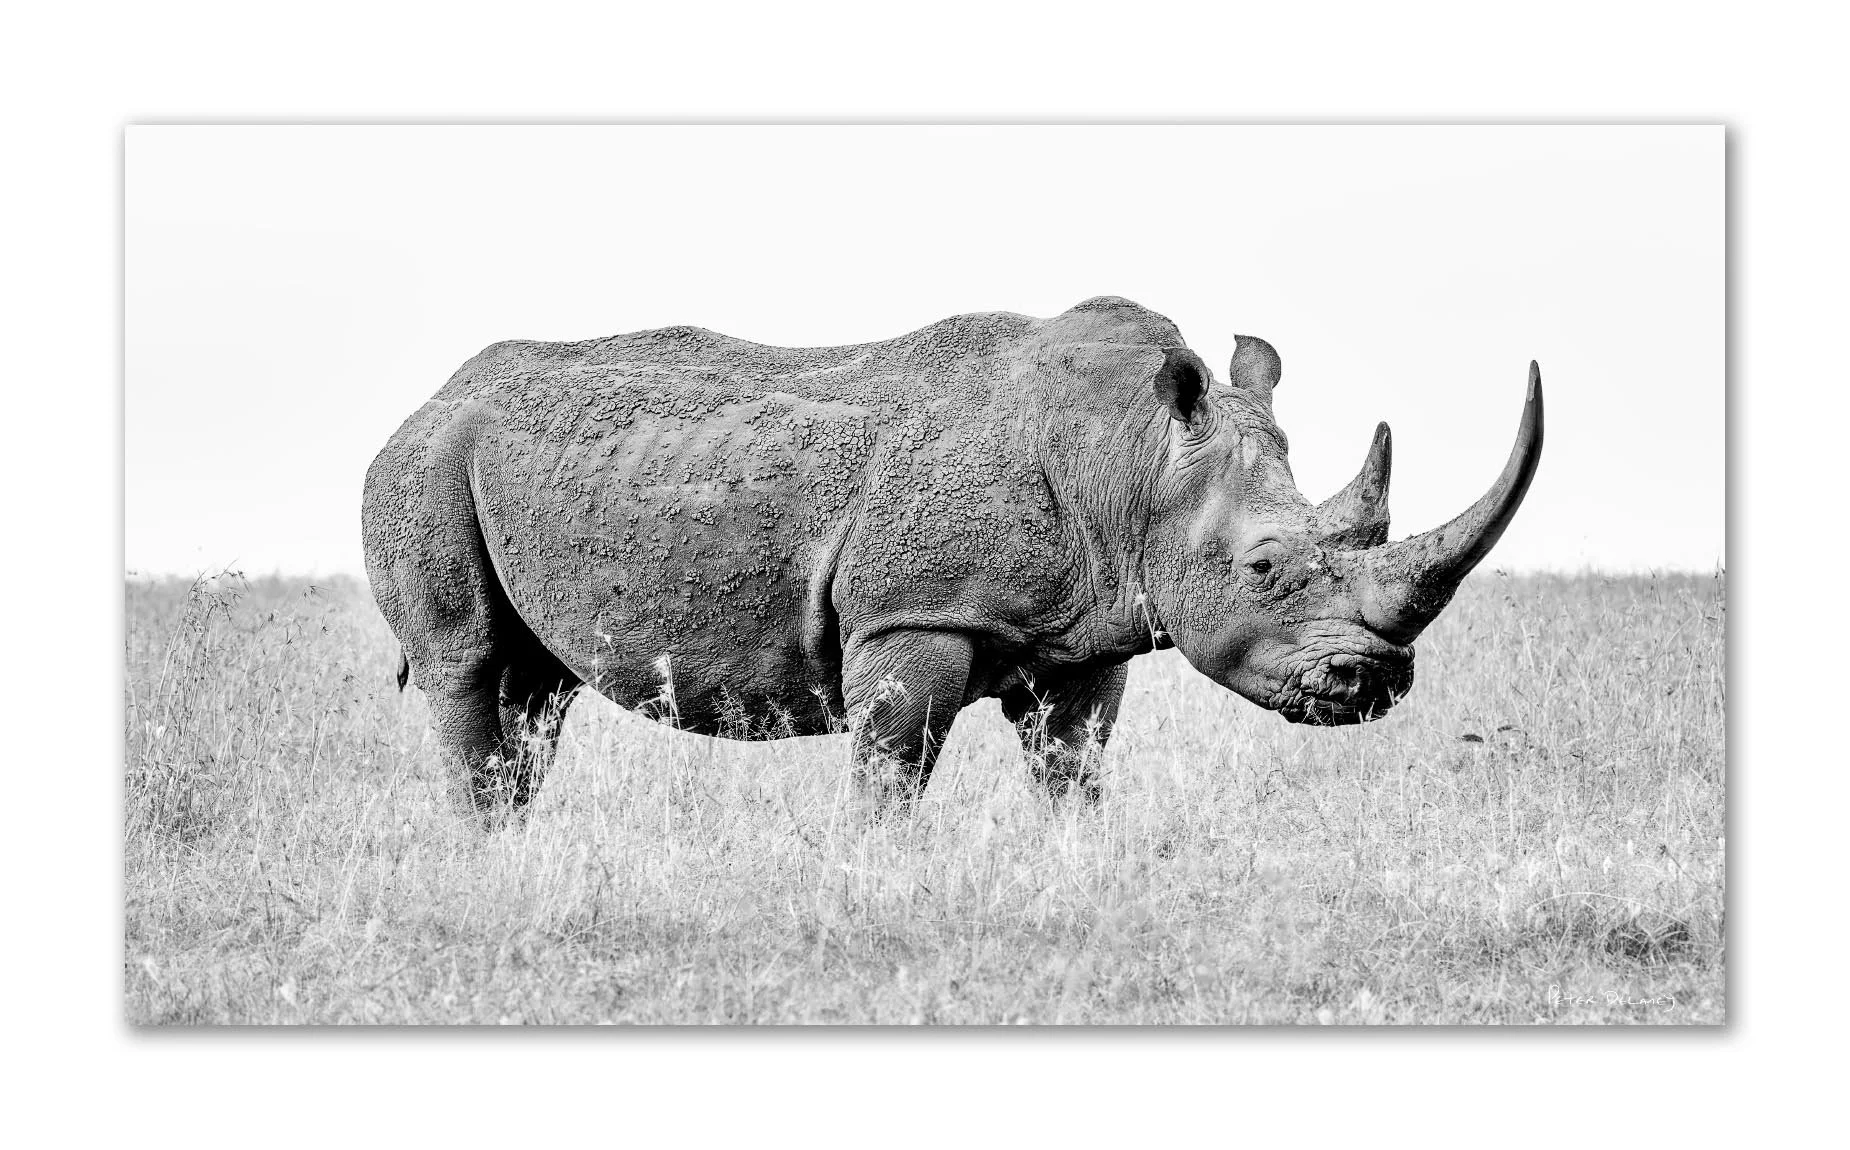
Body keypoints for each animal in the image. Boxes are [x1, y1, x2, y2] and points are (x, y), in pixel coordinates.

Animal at [362, 296, 1541, 820]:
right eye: (1263, 570)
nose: (1370, 682)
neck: (1133, 456)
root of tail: (425, 397)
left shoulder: (1087, 634)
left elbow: (1072, 767)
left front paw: (1075, 862)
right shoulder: (911, 615)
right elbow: (891, 768)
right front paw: (874, 876)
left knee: (534, 689)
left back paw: (516, 839)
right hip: (423, 466)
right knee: (469, 666)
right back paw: (486, 846)